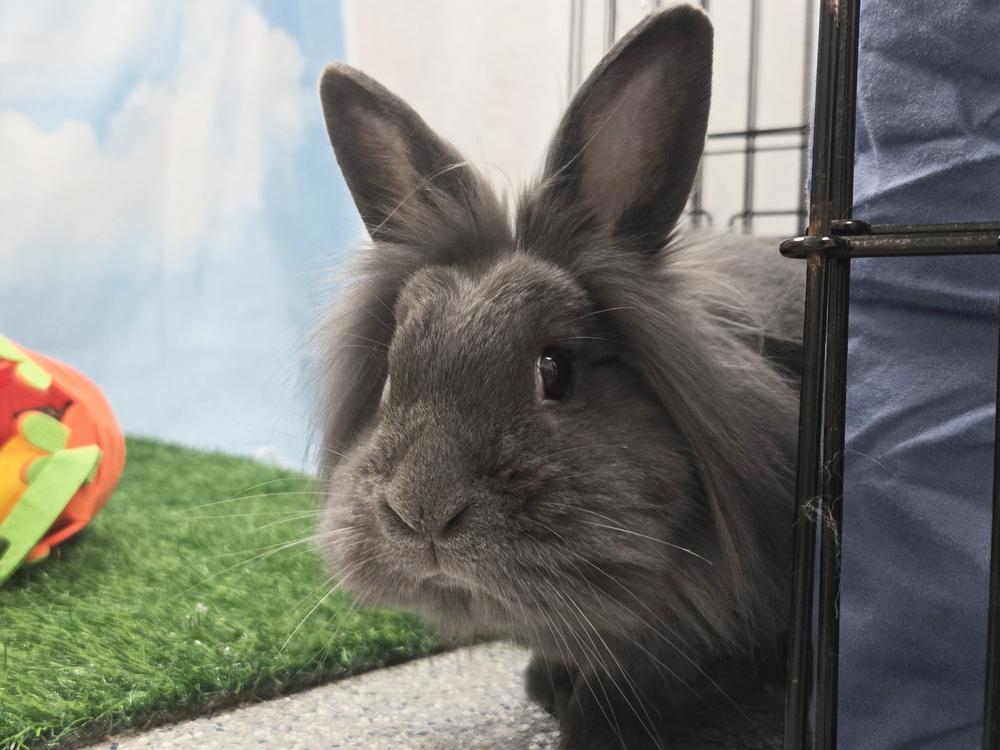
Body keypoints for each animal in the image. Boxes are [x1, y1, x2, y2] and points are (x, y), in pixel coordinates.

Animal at [313, 4, 803, 749]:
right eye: (393, 375)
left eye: (557, 370)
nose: (421, 511)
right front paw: (545, 688)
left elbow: (628, 677)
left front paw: (593, 729)